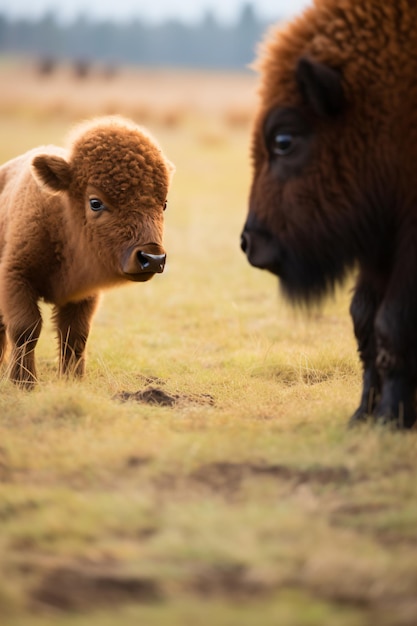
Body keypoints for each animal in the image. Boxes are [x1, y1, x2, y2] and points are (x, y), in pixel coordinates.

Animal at [0, 114, 174, 382]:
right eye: (95, 202)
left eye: (164, 204)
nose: (153, 258)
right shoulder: (15, 277)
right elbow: (25, 329)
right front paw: (24, 382)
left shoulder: (84, 294)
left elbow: (75, 335)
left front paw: (72, 381)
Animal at [239, 0, 416, 426]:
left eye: (284, 140)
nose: (250, 242)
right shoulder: (379, 241)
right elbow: (364, 319)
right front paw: (363, 415)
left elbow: (391, 322)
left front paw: (389, 418)